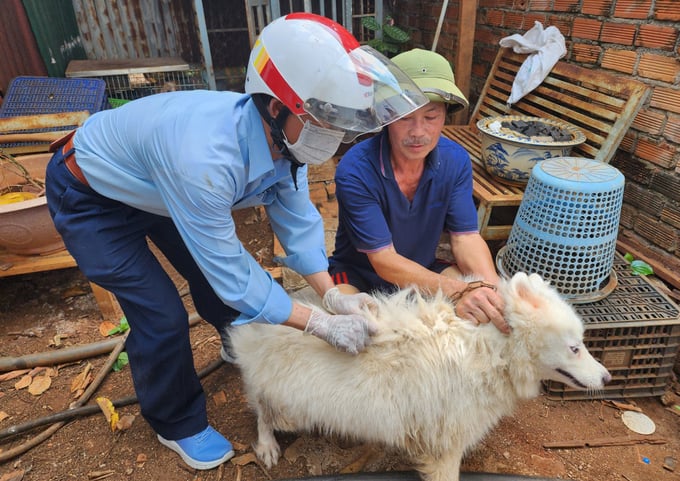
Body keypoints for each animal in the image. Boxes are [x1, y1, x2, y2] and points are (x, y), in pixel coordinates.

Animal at [230, 274, 612, 480]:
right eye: (575, 348)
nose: (607, 378)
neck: (492, 352)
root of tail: (253, 330)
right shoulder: (444, 448)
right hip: (290, 409)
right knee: (262, 413)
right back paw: (267, 447)